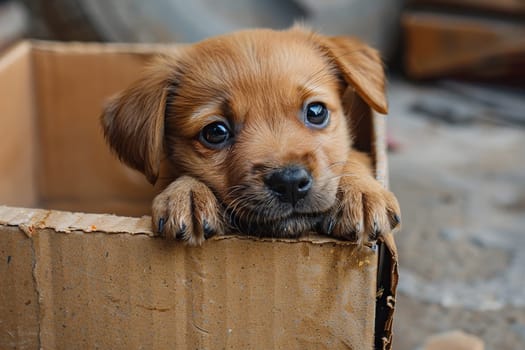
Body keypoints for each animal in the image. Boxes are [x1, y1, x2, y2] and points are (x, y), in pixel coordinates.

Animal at [102, 26, 400, 246]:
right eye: (215, 132)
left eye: (316, 111)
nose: (290, 182)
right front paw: (187, 193)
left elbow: (353, 157)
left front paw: (360, 192)